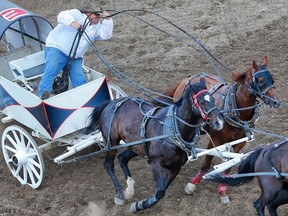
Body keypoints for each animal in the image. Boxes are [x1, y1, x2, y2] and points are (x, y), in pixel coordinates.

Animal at [85, 78, 225, 213]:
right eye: (201, 102)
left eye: (213, 99)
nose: (219, 122)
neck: (173, 130)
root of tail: (111, 103)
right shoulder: (155, 163)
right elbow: (160, 191)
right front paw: (139, 205)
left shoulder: (175, 168)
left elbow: (162, 191)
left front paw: (140, 204)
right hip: (111, 142)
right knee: (109, 164)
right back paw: (119, 194)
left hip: (136, 146)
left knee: (122, 158)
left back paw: (129, 189)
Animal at [154, 55, 280, 202]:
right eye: (260, 80)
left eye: (272, 79)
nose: (276, 101)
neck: (235, 110)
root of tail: (189, 77)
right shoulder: (215, 139)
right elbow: (207, 161)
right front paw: (192, 184)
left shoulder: (240, 142)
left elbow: (230, 164)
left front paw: (222, 189)